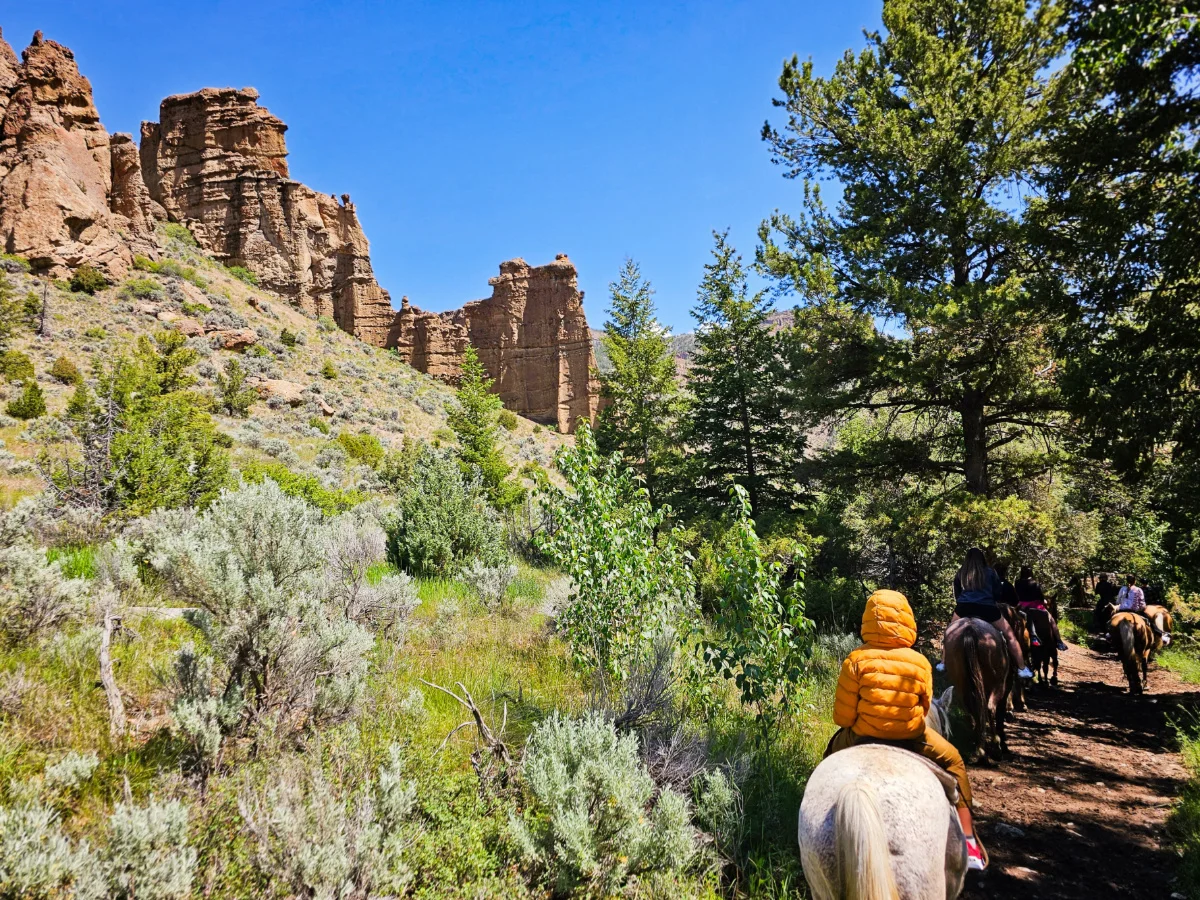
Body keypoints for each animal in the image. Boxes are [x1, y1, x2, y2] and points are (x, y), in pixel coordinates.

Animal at [940, 619, 1008, 763]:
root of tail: (970, 628)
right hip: (997, 683)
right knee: (989, 708)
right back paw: (995, 747)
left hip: (960, 683)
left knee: (971, 708)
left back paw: (979, 746)